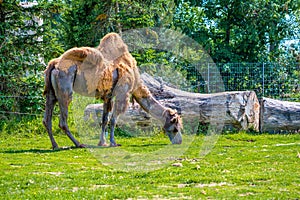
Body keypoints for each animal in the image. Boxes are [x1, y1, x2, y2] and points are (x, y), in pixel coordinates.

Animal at [42, 32, 183, 148]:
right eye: (175, 127)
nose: (179, 141)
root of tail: (53, 65)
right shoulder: (122, 93)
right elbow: (114, 120)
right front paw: (113, 143)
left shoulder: (108, 96)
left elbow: (105, 119)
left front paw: (102, 142)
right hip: (65, 86)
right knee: (63, 120)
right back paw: (79, 144)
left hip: (51, 91)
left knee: (47, 118)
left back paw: (55, 145)